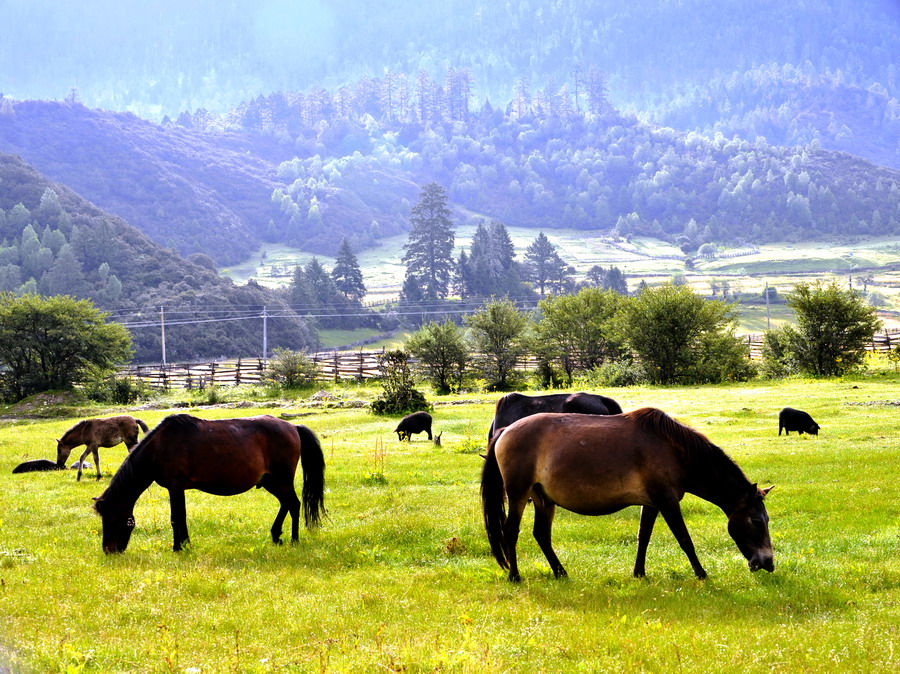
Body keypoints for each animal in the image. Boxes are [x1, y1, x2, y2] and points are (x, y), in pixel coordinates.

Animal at [91, 414, 328, 552]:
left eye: (111, 518)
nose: (109, 550)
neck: (159, 448)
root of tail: (293, 427)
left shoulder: (175, 487)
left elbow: (177, 518)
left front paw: (178, 547)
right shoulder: (177, 488)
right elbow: (181, 517)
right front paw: (185, 544)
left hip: (282, 479)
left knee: (294, 504)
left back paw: (294, 540)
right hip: (271, 481)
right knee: (286, 503)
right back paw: (276, 535)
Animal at [482, 406, 776, 580]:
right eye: (756, 521)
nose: (768, 563)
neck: (676, 451)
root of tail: (505, 431)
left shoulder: (653, 503)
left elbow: (643, 537)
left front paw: (639, 573)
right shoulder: (668, 501)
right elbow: (685, 539)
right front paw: (701, 573)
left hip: (544, 499)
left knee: (541, 535)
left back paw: (560, 572)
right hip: (519, 495)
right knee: (511, 532)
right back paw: (515, 576)